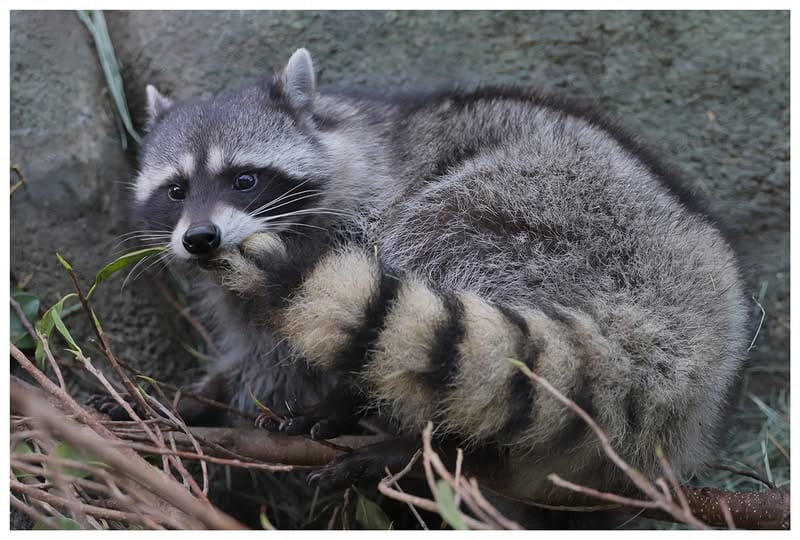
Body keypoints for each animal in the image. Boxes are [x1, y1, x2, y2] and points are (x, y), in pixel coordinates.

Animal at [124, 48, 747, 504]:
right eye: (176, 190)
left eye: (244, 180)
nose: (201, 238)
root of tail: (687, 313)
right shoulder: (241, 281)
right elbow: (263, 349)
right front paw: (197, 396)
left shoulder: (360, 215)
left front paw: (340, 398)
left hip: (548, 214)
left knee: (436, 246)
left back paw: (432, 444)